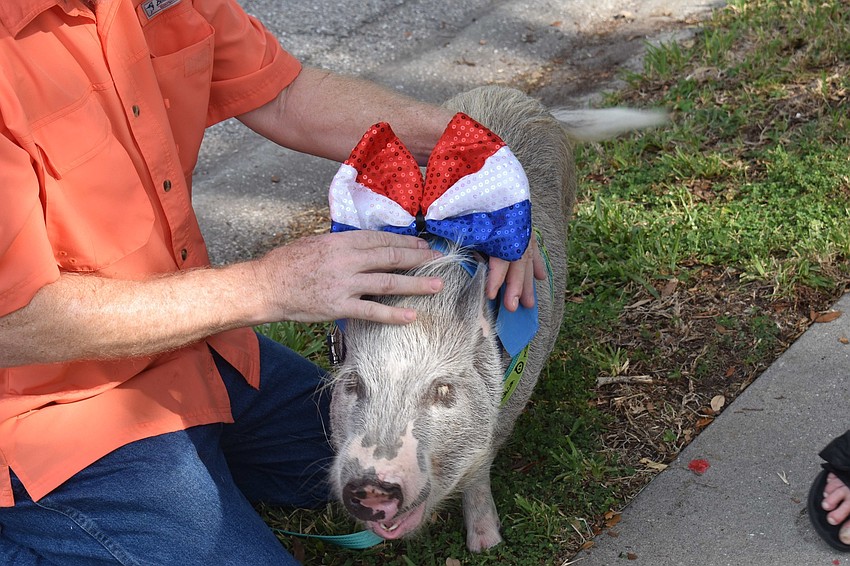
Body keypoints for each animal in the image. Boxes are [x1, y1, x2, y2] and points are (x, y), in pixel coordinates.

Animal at [328, 86, 665, 551]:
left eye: (444, 390)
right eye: (354, 385)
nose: (370, 486)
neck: (424, 303)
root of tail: (519, 96)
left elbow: (479, 468)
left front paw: (486, 545)